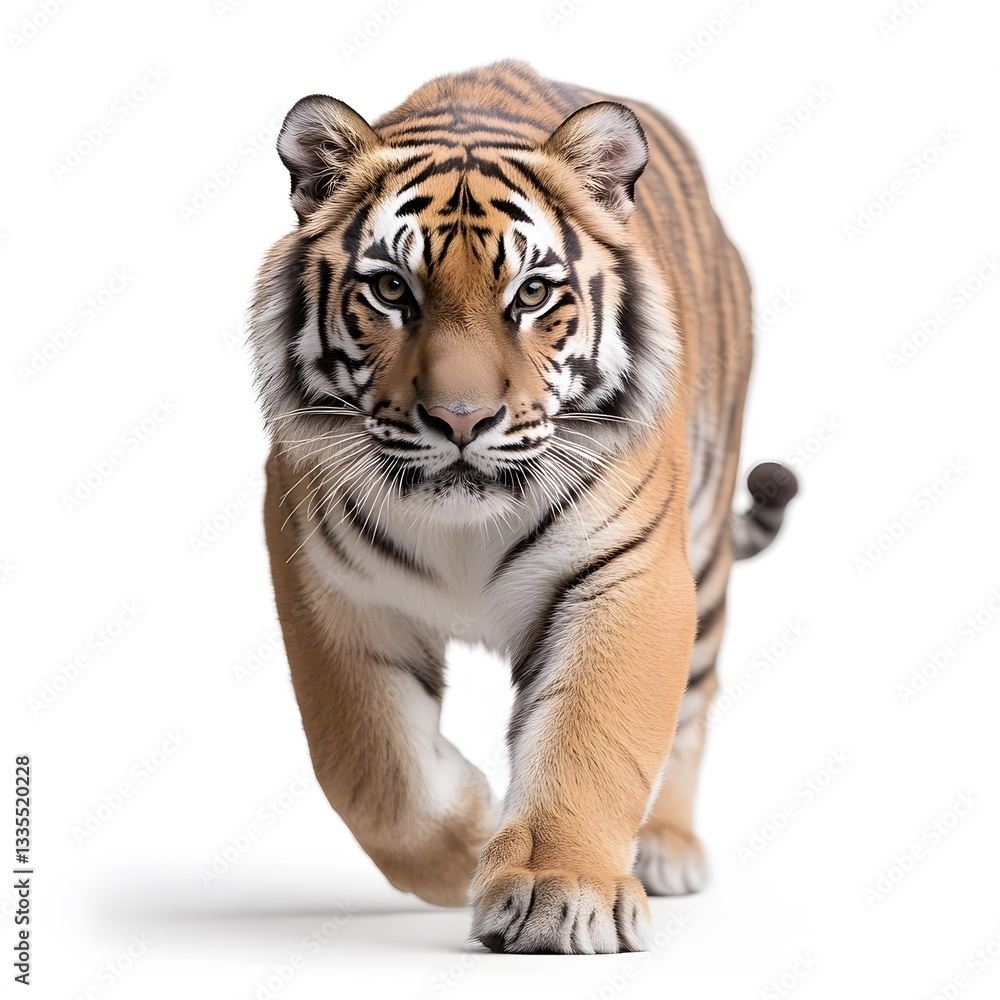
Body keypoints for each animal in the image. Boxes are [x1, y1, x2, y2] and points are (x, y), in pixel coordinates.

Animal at [248, 59, 797, 955]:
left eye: (533, 293)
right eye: (392, 289)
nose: (461, 419)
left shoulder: (626, 575)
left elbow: (591, 735)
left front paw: (558, 891)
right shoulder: (326, 585)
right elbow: (370, 766)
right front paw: (469, 841)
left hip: (709, 543)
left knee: (695, 697)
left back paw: (665, 845)